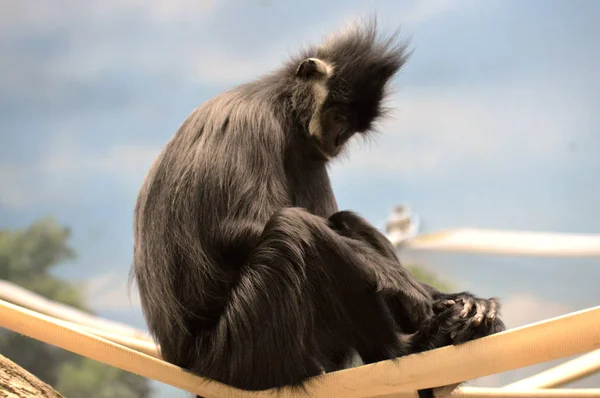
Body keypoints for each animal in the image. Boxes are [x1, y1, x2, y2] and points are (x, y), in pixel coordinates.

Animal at [130, 18, 502, 398]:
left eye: (350, 128)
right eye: (338, 116)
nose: (337, 141)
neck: (281, 105)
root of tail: (184, 359)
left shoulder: (308, 149)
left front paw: (454, 298)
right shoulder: (253, 122)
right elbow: (238, 231)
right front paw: (404, 284)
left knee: (339, 220)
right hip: (242, 351)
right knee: (295, 228)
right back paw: (408, 348)